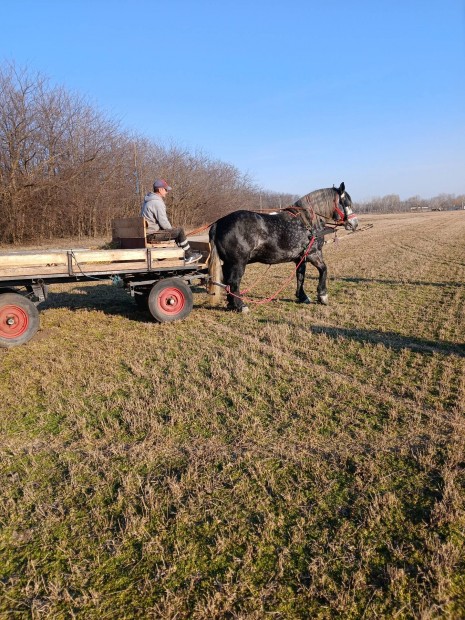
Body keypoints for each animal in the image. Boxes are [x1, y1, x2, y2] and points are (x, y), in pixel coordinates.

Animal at [208, 182, 358, 312]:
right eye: (346, 203)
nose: (355, 223)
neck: (308, 222)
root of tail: (218, 223)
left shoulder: (301, 257)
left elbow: (300, 276)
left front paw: (302, 296)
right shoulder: (313, 254)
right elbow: (324, 270)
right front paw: (322, 295)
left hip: (228, 263)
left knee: (228, 282)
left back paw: (231, 304)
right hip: (238, 263)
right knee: (234, 282)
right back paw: (240, 306)